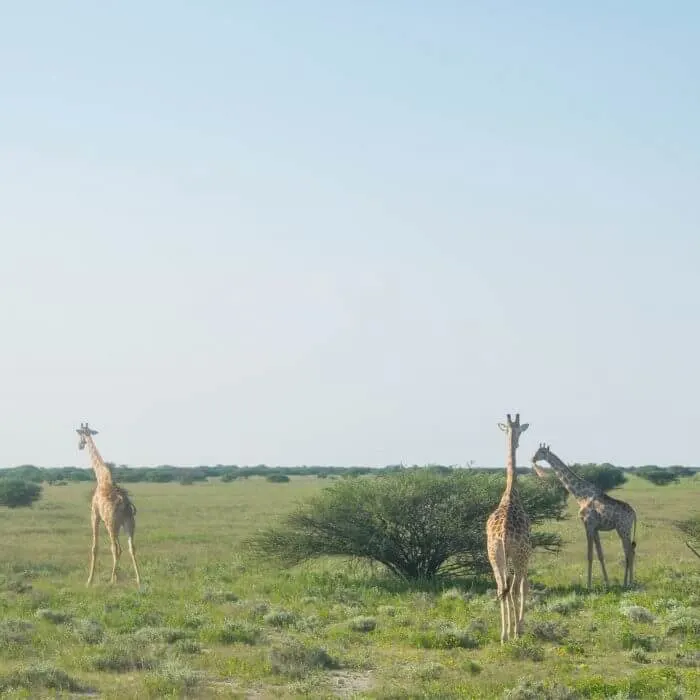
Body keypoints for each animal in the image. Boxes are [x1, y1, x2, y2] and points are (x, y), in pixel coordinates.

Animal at [77, 423, 141, 587]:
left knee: (115, 548)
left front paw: (89, 581)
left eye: (80, 434)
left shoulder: (95, 514)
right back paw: (139, 580)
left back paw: (111, 580)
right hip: (128, 524)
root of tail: (125, 505)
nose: (80, 445)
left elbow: (95, 547)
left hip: (112, 525)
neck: (102, 478)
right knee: (131, 548)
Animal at [531, 443, 636, 589]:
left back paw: (629, 583)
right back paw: (626, 582)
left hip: (623, 528)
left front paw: (588, 585)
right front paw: (607, 583)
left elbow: (589, 555)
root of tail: (634, 514)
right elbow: (600, 554)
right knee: (629, 550)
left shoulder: (588, 524)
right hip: (624, 529)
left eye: (541, 452)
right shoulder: (595, 528)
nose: (533, 458)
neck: (580, 495)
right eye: (536, 451)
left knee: (629, 552)